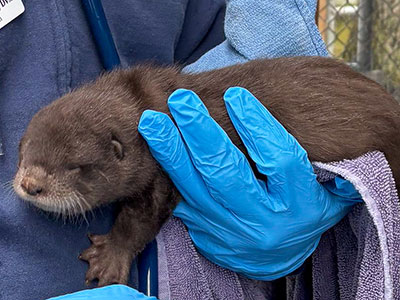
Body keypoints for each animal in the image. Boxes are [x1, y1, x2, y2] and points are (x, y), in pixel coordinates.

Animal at [12, 55, 400, 286]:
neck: (145, 107)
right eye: (23, 150)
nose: (31, 184)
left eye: (75, 166)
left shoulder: (161, 177)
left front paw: (109, 258)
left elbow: (139, 222)